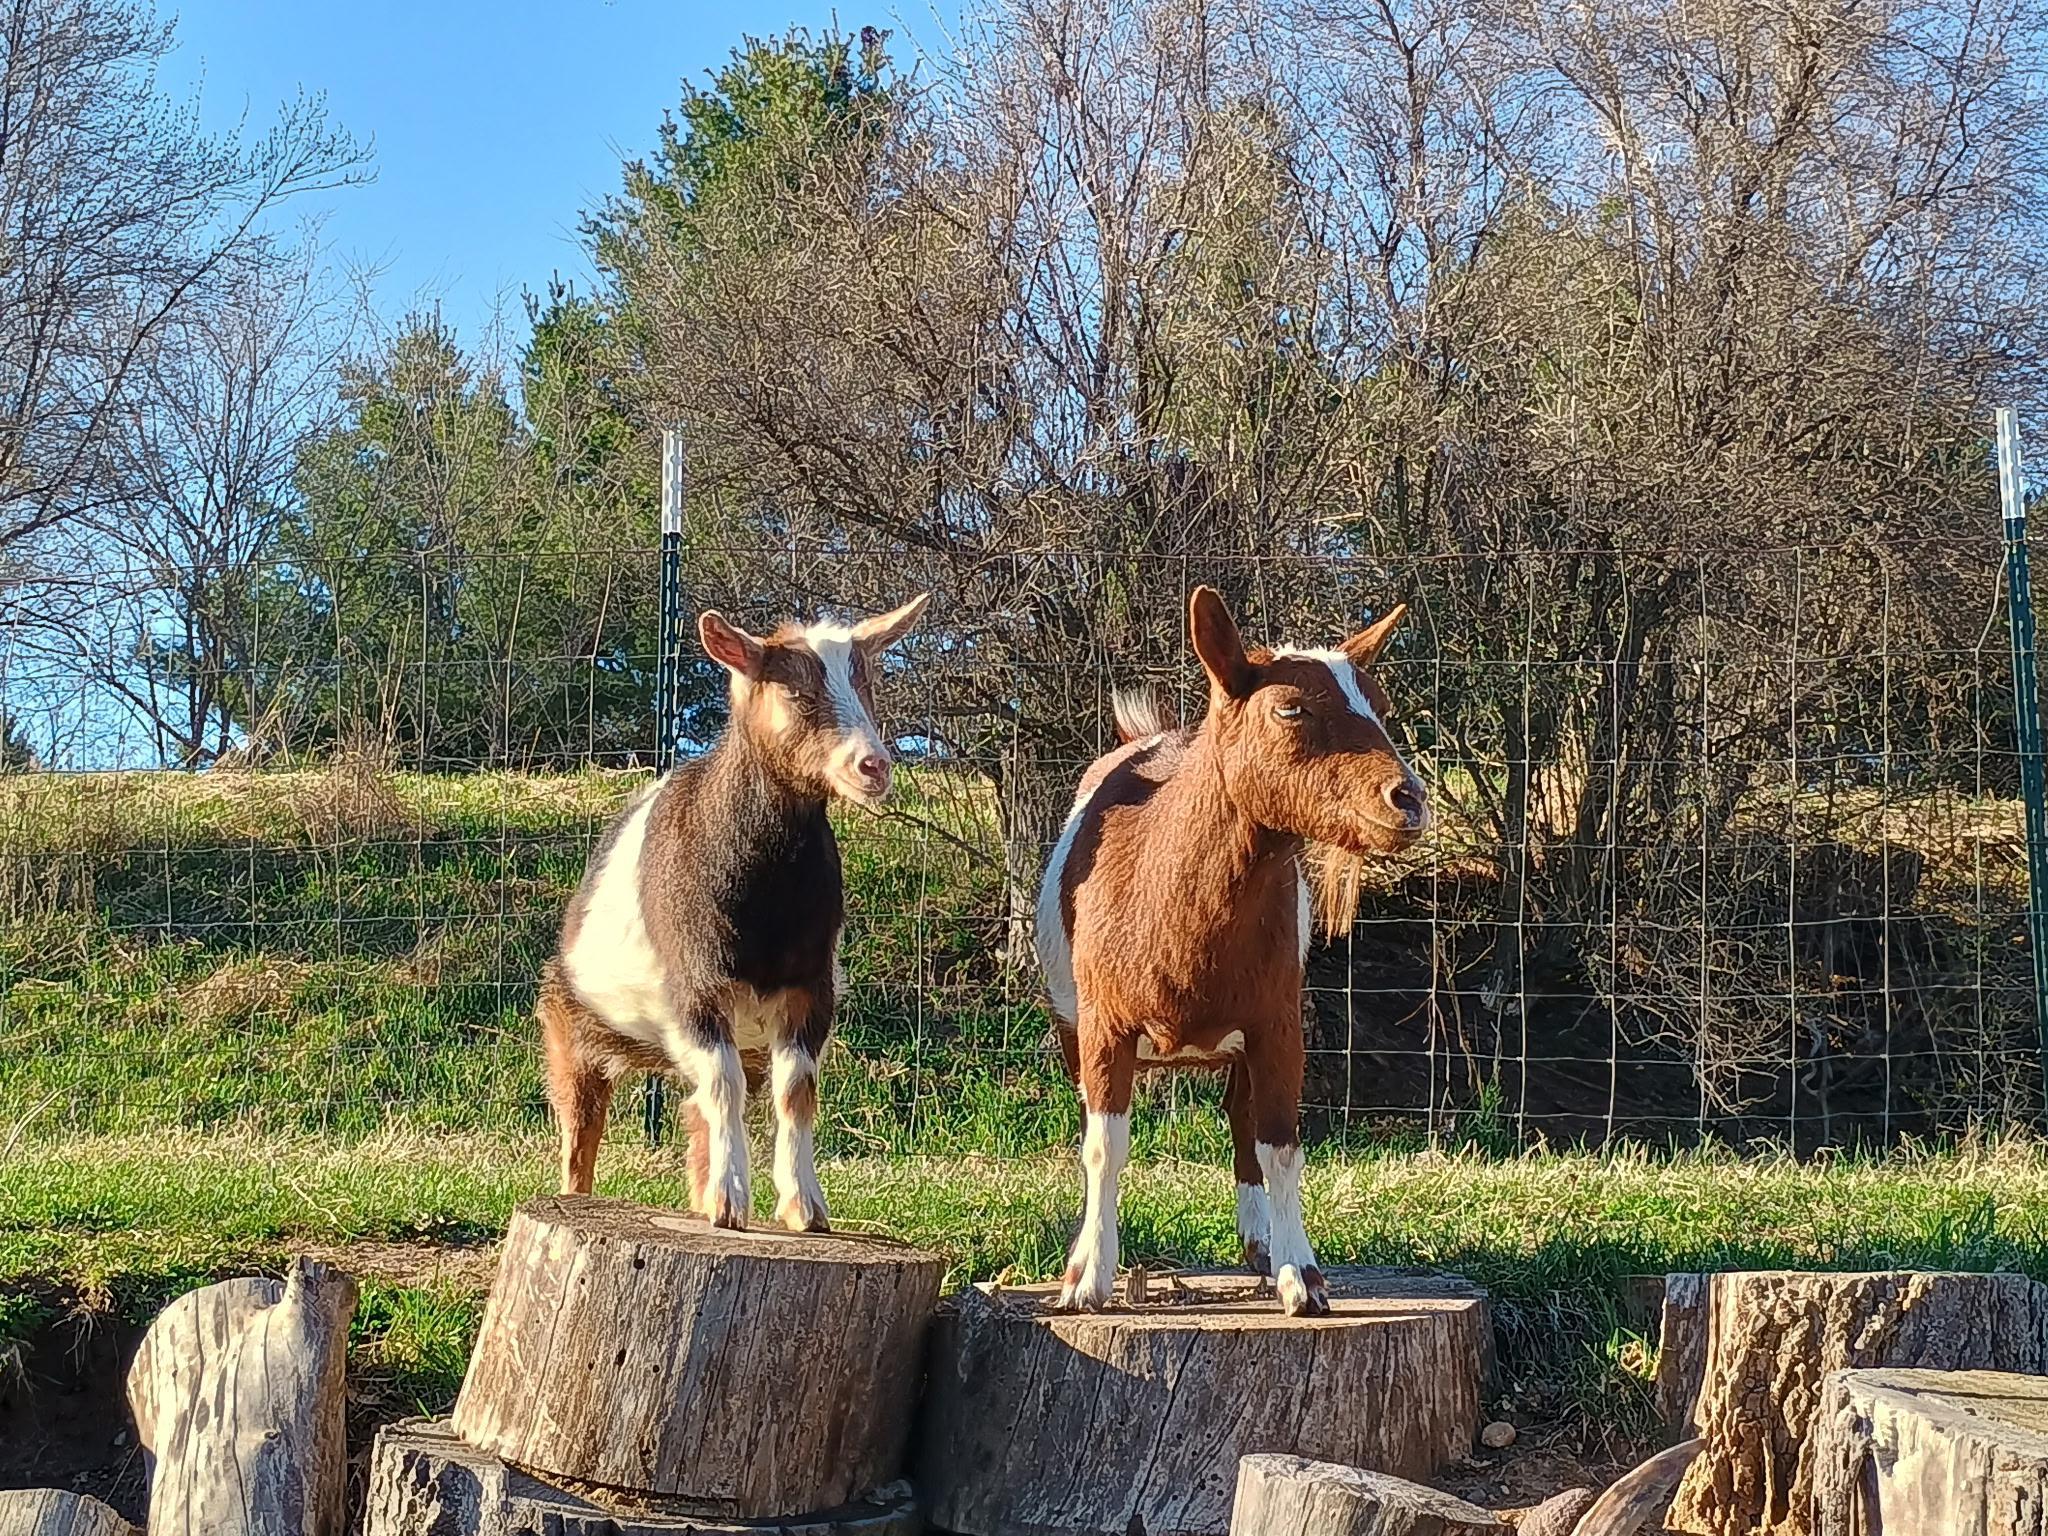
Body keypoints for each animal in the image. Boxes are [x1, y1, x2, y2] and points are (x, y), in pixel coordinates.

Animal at [539, 593, 930, 1229]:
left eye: (868, 682)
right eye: (794, 690)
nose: (872, 765)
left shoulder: (810, 988)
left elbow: (795, 1091)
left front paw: (803, 1208)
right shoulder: (696, 984)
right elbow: (723, 1087)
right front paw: (728, 1204)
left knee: (701, 1107)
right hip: (572, 1020)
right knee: (583, 1125)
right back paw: (578, 1196)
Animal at [1036, 586, 1428, 1314]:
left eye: (1382, 707)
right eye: (1291, 707)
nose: (1408, 800)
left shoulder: (1277, 1019)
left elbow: (1280, 1143)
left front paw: (1303, 1277)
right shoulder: (1102, 1023)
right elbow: (1104, 1143)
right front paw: (1086, 1276)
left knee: (1242, 1120)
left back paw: (1259, 1243)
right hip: (1070, 1016)